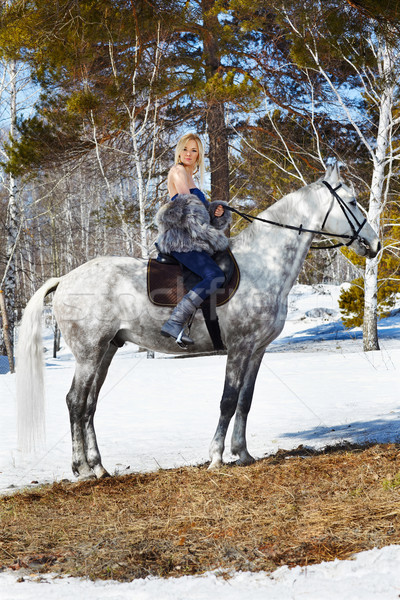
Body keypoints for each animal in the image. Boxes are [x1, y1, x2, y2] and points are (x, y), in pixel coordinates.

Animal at [15, 166, 378, 480]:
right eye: (353, 202)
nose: (374, 244)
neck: (263, 264)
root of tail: (64, 279)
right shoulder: (239, 348)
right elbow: (228, 400)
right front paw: (216, 457)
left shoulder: (257, 350)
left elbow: (245, 400)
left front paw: (243, 454)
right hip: (88, 354)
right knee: (75, 402)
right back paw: (82, 469)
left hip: (106, 351)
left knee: (89, 405)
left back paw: (99, 467)